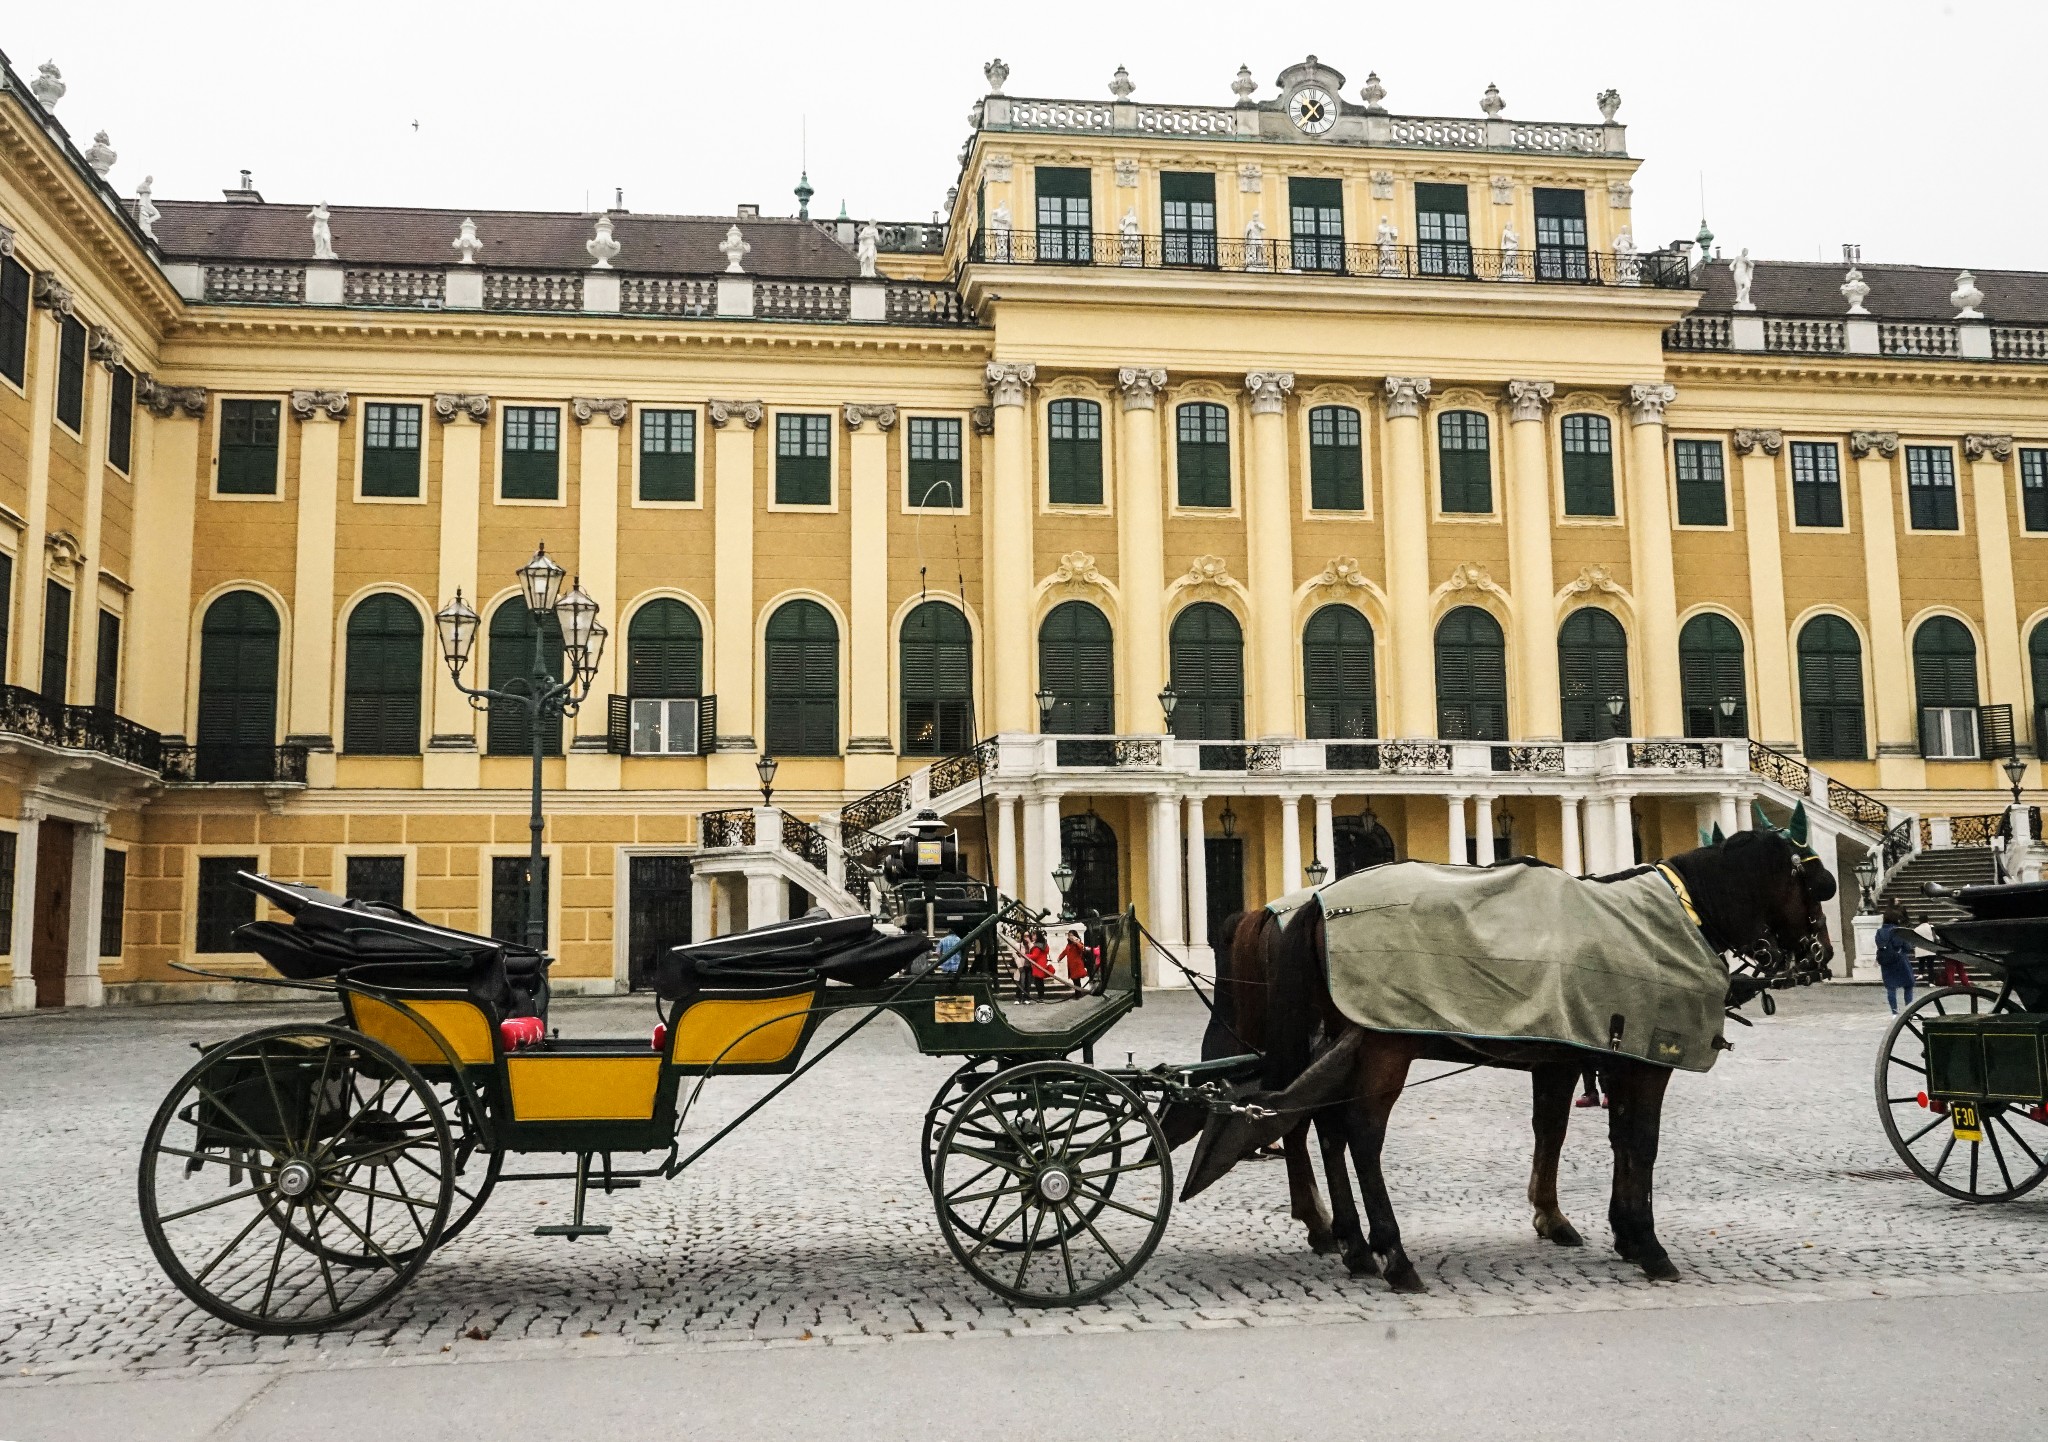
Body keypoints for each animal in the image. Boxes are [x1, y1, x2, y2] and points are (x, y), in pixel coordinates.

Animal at [1179, 827, 1835, 1286]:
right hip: (1384, 1043)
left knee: (1323, 1125)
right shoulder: (1645, 1061)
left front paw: (1603, 1228)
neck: (1678, 912)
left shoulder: (1580, 1054)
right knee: (1357, 1133)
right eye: (1815, 887)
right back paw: (1390, 1253)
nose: (1822, 957)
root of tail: (1317, 903)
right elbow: (1638, 1142)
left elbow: (1579, 1134)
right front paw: (1645, 1244)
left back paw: (1352, 1244)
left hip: (1341, 1040)